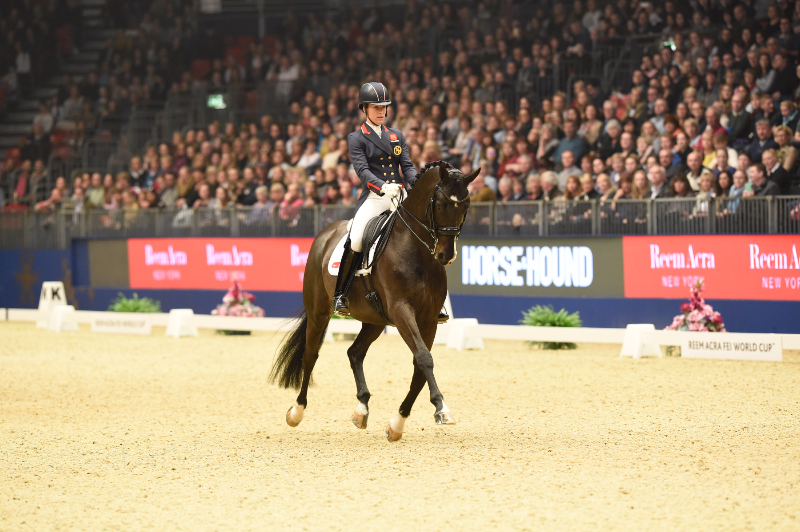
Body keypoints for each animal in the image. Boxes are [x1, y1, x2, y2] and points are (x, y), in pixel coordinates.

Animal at [268, 161, 482, 440]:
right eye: (440, 204)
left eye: (466, 207)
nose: (446, 255)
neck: (417, 250)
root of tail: (326, 233)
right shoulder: (402, 311)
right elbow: (424, 359)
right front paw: (442, 408)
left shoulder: (428, 319)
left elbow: (419, 365)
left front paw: (397, 424)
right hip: (318, 312)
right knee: (310, 355)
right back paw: (296, 411)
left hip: (374, 319)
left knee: (355, 352)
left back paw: (361, 409)